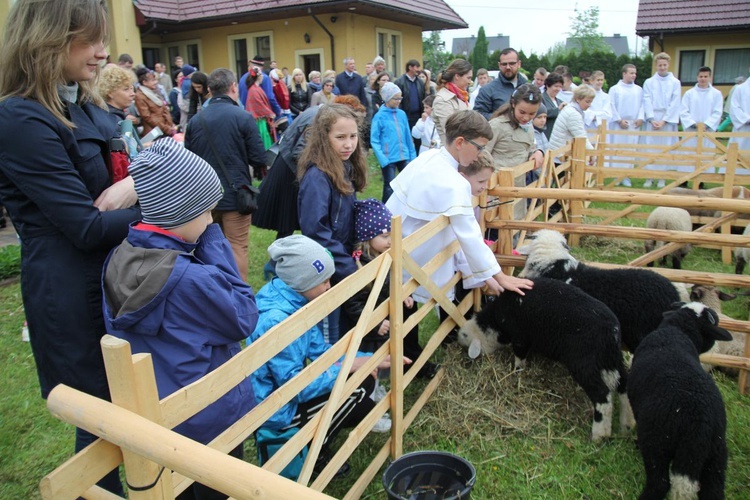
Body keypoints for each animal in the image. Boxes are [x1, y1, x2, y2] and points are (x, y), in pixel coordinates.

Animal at [458, 278, 636, 442]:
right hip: (612, 360)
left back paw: (599, 435)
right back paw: (627, 424)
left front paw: (517, 372)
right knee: (624, 386)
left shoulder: (520, 337)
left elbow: (520, 357)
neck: (494, 323)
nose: (457, 337)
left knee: (602, 397)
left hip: (584, 364)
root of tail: (611, 332)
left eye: (465, 336)